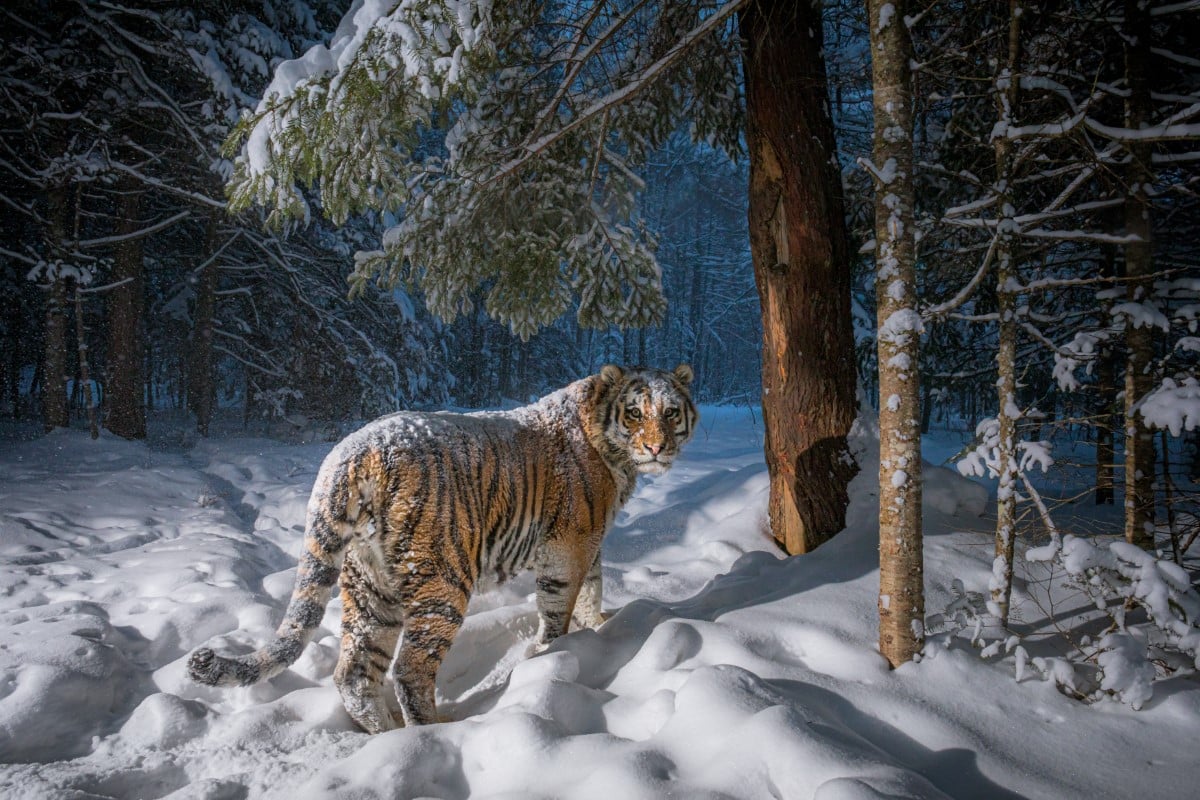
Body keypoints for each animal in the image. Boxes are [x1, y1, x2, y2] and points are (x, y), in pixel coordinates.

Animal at [182, 367, 700, 734]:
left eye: (671, 412)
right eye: (635, 413)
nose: (656, 447)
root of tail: (350, 454)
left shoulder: (590, 545)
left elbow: (592, 589)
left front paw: (598, 627)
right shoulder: (568, 545)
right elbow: (560, 606)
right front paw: (555, 653)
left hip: (370, 587)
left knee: (354, 672)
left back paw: (386, 734)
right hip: (443, 581)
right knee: (410, 671)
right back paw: (433, 732)